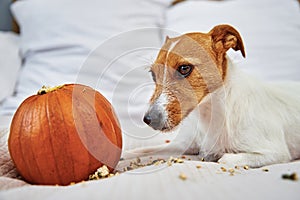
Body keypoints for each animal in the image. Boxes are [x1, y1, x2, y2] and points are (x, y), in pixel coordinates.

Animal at [141, 23, 300, 167]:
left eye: (184, 68)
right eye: (153, 74)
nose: (149, 120)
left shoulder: (275, 152)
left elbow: (224, 158)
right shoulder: (184, 144)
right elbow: (143, 151)